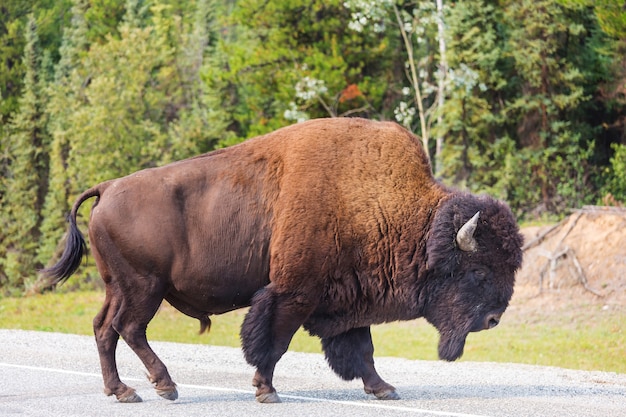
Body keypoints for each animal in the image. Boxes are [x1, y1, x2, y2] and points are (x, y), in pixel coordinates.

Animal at [42, 117, 520, 404]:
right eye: (477, 271)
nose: (495, 319)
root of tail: (107, 188)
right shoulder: (294, 294)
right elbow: (273, 341)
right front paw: (265, 391)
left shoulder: (351, 298)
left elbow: (361, 349)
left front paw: (384, 389)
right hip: (145, 288)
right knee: (129, 329)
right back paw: (165, 386)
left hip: (118, 287)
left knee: (104, 328)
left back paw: (122, 391)